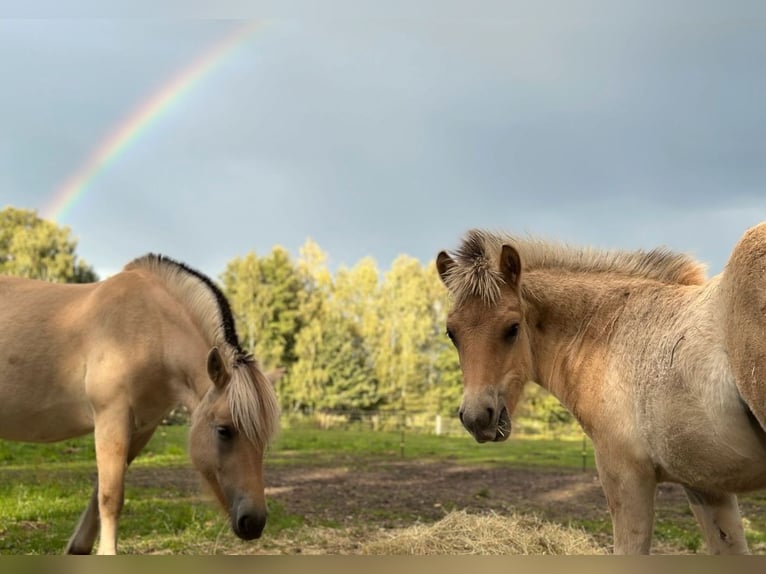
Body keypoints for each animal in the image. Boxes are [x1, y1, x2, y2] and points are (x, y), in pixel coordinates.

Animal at [0, 254, 280, 556]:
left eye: (264, 440)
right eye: (224, 430)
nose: (254, 522)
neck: (150, 327)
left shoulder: (140, 429)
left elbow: (100, 491)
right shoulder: (112, 418)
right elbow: (111, 496)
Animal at [440, 223, 766, 556]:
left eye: (513, 328)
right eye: (451, 333)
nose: (477, 417)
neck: (609, 334)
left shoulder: (625, 477)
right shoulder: (705, 485)